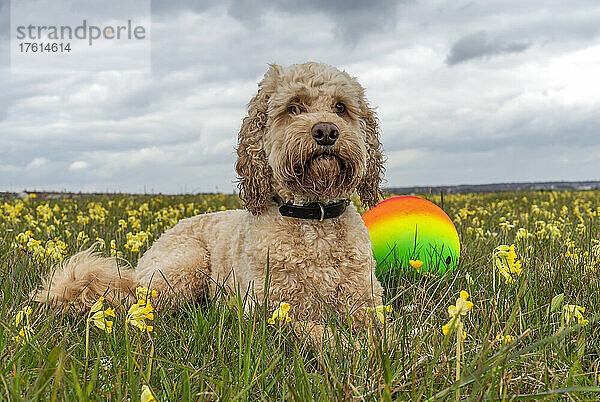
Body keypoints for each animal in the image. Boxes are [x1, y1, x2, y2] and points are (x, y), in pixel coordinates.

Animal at [36, 62, 384, 340]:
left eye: (341, 107)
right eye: (294, 107)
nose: (326, 131)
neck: (313, 217)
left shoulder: (367, 301)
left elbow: (384, 334)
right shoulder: (268, 310)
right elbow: (320, 334)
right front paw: (352, 352)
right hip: (185, 265)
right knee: (133, 307)